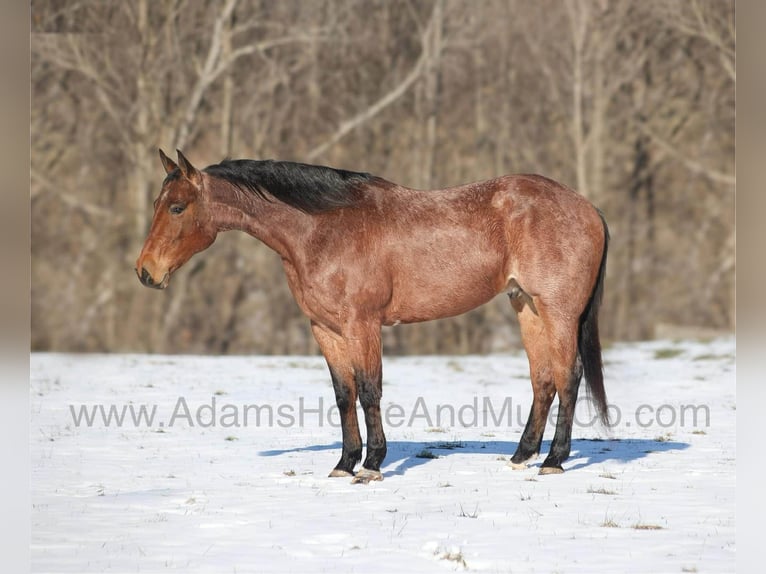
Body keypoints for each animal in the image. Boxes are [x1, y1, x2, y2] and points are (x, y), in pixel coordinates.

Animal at [136, 149, 609, 482]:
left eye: (177, 207)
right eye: (158, 203)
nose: (145, 272)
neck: (322, 229)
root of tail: (587, 207)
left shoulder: (361, 324)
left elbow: (369, 390)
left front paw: (372, 464)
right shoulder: (325, 329)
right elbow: (344, 394)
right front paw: (344, 462)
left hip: (558, 311)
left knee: (568, 376)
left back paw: (553, 460)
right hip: (526, 305)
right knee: (543, 379)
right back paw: (521, 456)